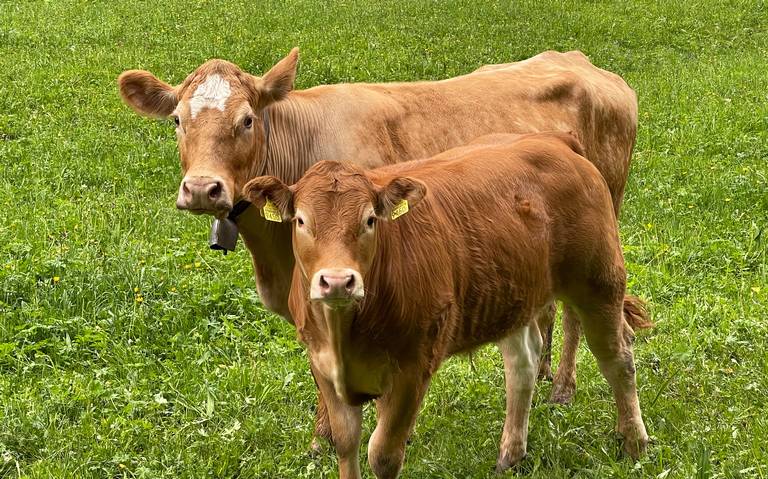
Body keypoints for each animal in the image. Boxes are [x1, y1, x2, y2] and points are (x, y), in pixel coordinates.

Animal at [117, 48, 638, 448]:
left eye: (247, 120)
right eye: (177, 121)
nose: (202, 189)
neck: (274, 257)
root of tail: (579, 61)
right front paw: (323, 438)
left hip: (601, 225)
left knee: (579, 315)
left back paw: (564, 386)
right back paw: (546, 371)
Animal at [242, 132, 650, 478]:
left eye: (370, 220)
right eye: (300, 220)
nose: (339, 281)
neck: (345, 331)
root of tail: (554, 140)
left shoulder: (412, 368)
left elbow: (383, 454)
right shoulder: (322, 364)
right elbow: (346, 443)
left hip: (598, 282)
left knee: (618, 358)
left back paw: (633, 443)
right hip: (513, 294)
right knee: (524, 361)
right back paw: (510, 454)